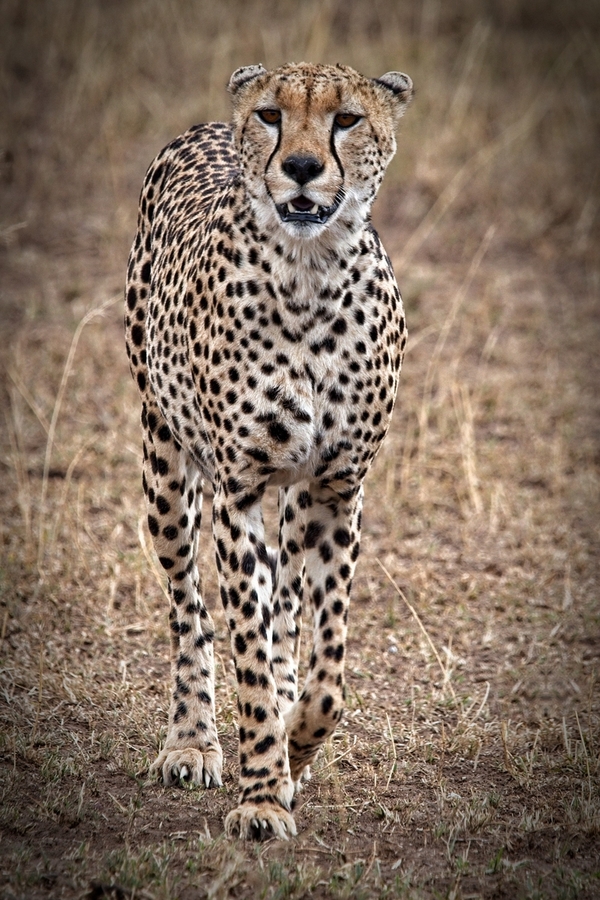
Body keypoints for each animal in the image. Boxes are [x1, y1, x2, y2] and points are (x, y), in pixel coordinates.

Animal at [124, 61, 412, 841]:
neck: (310, 271)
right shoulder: (241, 488)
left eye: (346, 119)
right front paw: (260, 792)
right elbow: (247, 651)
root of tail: (199, 128)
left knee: (286, 607)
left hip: (296, 497)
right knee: (191, 610)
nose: (303, 168)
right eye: (270, 115)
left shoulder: (339, 488)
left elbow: (328, 668)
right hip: (164, 464)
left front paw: (297, 746)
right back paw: (193, 741)